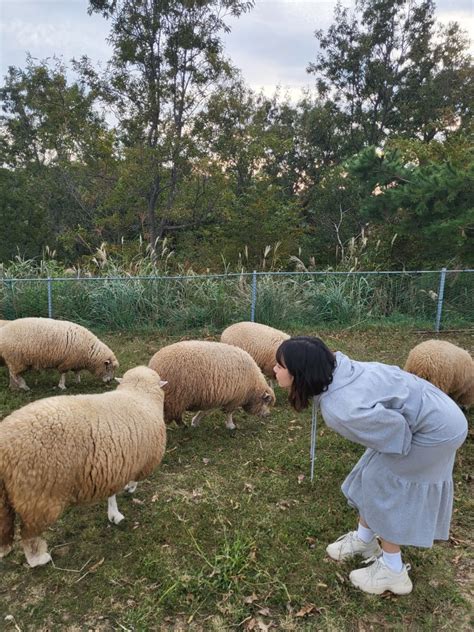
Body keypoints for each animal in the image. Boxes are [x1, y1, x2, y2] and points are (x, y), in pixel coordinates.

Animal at [0, 366, 167, 568]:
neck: (137, 394)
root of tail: (5, 445)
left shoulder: (114, 465)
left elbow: (112, 493)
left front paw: (114, 514)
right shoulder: (141, 460)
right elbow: (134, 479)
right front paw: (130, 488)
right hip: (39, 495)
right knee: (28, 534)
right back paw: (38, 559)